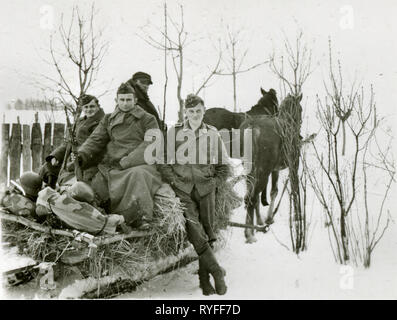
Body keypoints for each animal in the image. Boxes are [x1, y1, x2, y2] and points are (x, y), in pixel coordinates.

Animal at [240, 92, 302, 242]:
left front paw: (269, 218)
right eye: (301, 109)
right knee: (252, 198)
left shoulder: (275, 170)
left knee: (249, 197)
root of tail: (252, 127)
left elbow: (274, 191)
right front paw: (297, 217)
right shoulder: (294, 166)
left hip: (251, 171)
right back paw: (250, 235)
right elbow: (295, 189)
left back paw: (252, 228)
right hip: (263, 172)